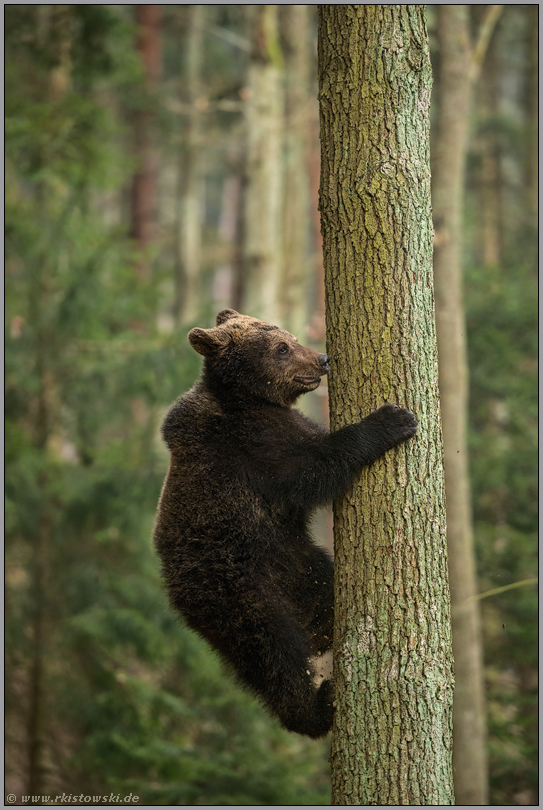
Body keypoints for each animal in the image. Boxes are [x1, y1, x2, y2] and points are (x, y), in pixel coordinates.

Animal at [153, 309, 417, 738]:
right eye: (281, 348)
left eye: (290, 337)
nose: (321, 360)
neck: (250, 401)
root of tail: (176, 595)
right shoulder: (252, 449)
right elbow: (315, 464)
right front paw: (392, 419)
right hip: (236, 589)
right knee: (274, 654)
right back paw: (315, 709)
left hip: (299, 563)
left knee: (320, 596)